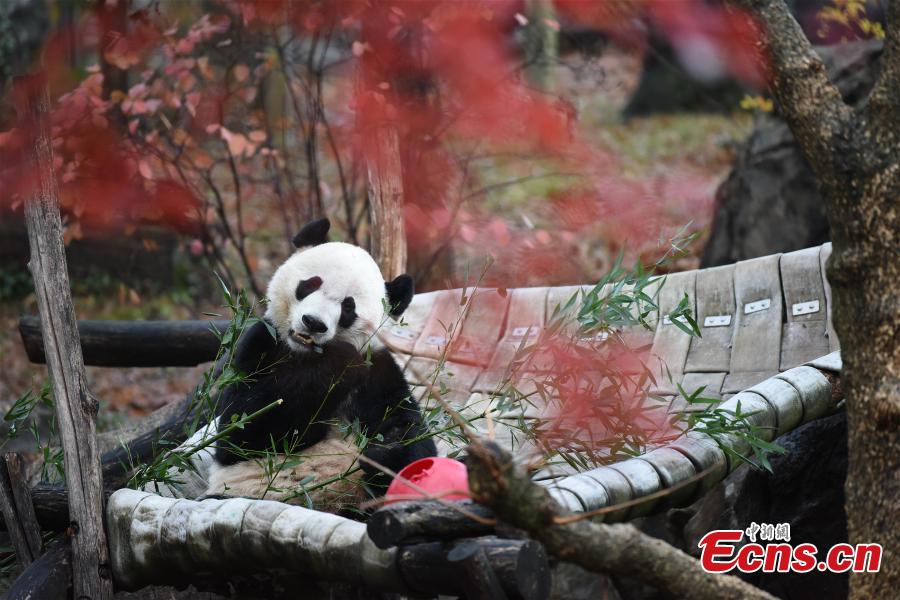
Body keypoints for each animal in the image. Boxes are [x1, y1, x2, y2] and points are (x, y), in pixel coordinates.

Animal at [169, 218, 436, 511]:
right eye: (310, 284)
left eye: (348, 307)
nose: (314, 323)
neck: (306, 354)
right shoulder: (259, 346)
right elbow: (245, 428)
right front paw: (340, 362)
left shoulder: (378, 372)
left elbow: (406, 431)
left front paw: (386, 453)